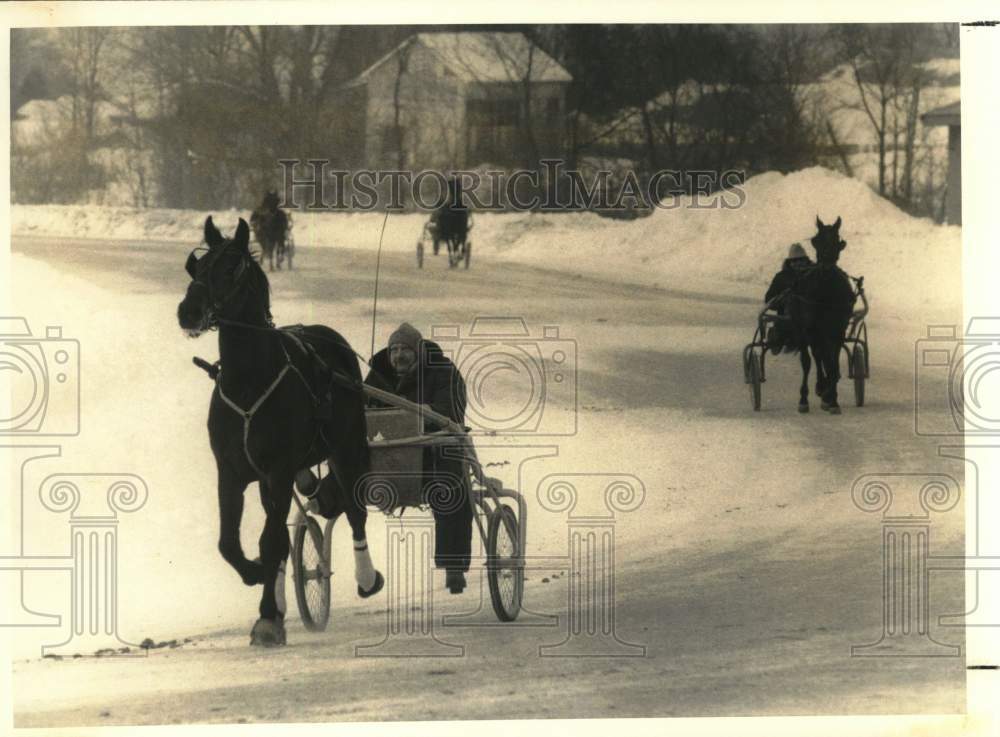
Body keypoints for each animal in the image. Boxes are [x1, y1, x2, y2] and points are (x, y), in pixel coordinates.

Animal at [178, 214, 380, 644]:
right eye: (196, 266)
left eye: (231, 268)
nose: (188, 310)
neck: (249, 381)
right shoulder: (231, 471)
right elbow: (229, 543)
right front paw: (256, 575)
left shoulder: (279, 469)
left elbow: (271, 541)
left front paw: (268, 616)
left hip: (346, 447)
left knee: (355, 511)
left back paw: (366, 577)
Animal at [784, 216, 856, 414]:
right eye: (816, 240)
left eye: (837, 240)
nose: (826, 267)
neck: (825, 292)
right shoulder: (808, 329)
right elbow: (808, 361)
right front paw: (804, 399)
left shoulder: (837, 330)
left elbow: (833, 363)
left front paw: (832, 400)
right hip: (805, 329)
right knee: (815, 356)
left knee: (824, 356)